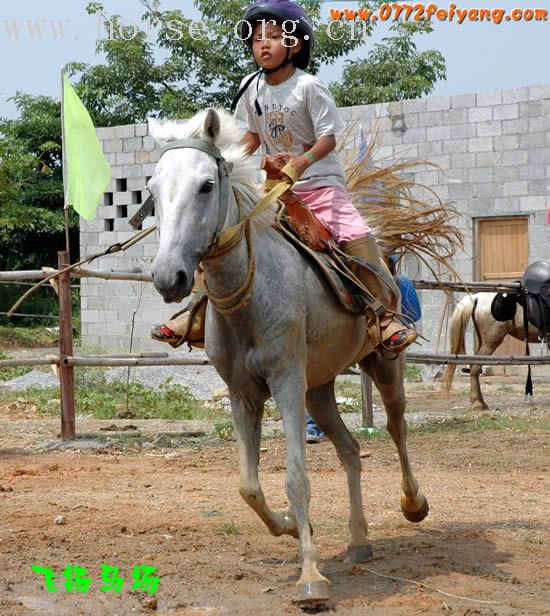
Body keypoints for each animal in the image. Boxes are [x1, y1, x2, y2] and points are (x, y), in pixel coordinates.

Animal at [148, 107, 432, 608]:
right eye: (152, 191)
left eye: (206, 185)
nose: (169, 277)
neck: (251, 289)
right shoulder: (243, 394)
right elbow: (248, 486)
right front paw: (286, 526)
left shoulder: (284, 383)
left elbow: (297, 480)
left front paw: (311, 578)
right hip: (318, 388)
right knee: (350, 450)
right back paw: (359, 541)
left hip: (382, 366)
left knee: (397, 430)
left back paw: (413, 505)